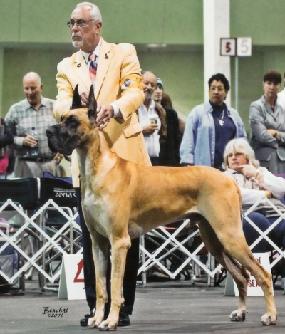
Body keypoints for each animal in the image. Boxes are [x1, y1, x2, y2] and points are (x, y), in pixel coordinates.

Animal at [46, 86, 276, 328]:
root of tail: (229, 179)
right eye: (61, 118)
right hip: (214, 240)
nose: (48, 132)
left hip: (230, 235)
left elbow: (115, 286)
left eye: (72, 122)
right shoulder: (98, 243)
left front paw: (111, 321)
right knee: (241, 275)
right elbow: (101, 287)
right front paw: (98, 317)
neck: (97, 168)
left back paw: (270, 315)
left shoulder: (119, 242)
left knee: (262, 273)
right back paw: (240, 312)